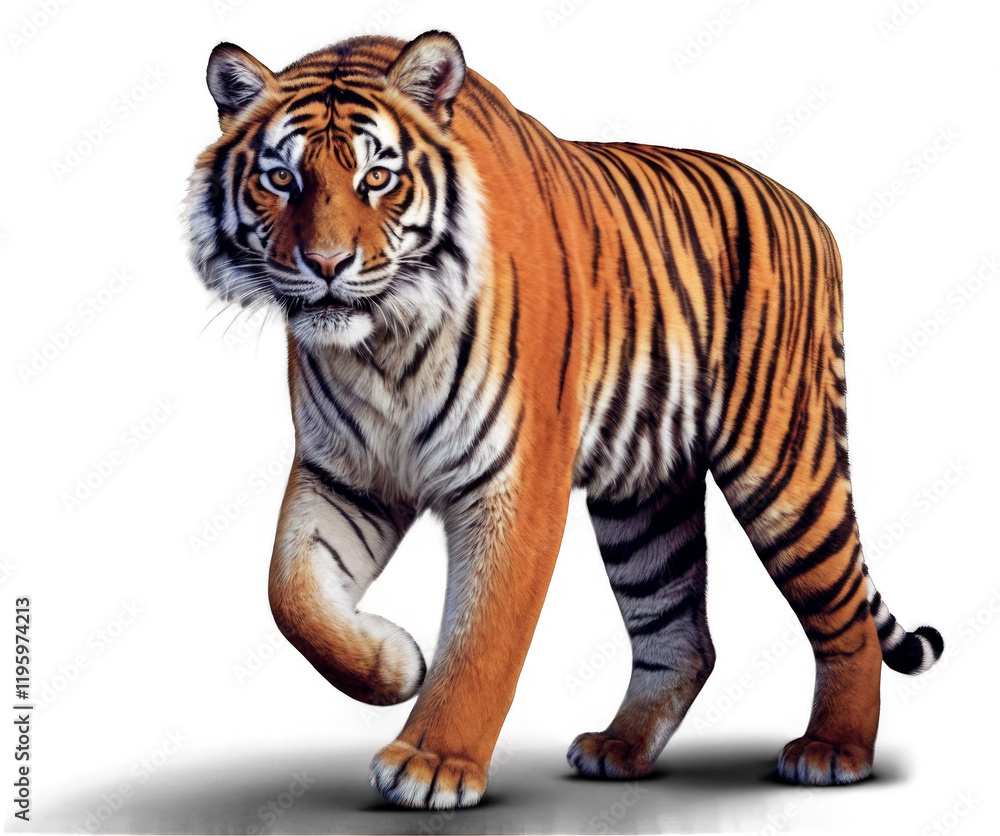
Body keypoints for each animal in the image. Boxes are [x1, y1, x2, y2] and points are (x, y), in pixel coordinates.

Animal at [184, 30, 944, 810]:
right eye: (281, 179)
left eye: (377, 178)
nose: (328, 264)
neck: (382, 346)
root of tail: (809, 213)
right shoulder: (346, 473)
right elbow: (290, 593)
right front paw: (393, 663)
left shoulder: (514, 481)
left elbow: (485, 633)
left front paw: (432, 763)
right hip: (645, 501)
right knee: (679, 638)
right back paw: (620, 748)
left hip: (784, 467)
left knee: (846, 616)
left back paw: (833, 750)